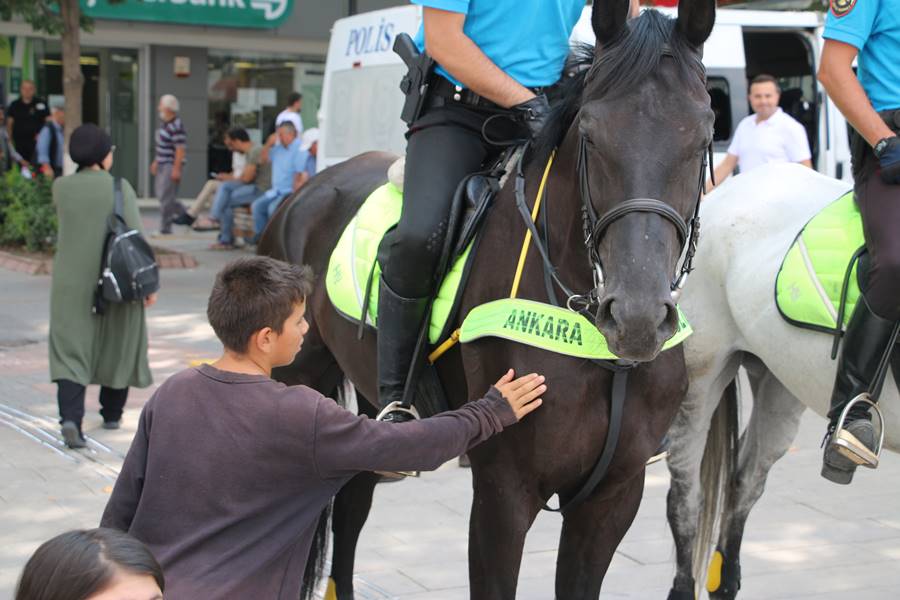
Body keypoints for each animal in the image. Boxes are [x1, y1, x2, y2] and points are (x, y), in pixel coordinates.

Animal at [260, 2, 716, 596]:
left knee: (352, 499)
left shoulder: (613, 496)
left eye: (704, 135)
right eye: (591, 136)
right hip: (296, 378)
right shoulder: (504, 492)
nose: (637, 318)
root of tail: (304, 194)